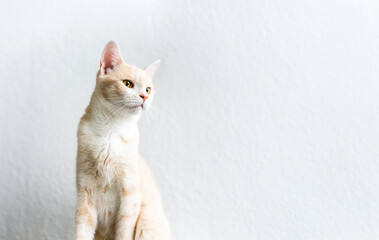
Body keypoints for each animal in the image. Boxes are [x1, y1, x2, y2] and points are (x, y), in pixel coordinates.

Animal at [75, 41, 171, 240]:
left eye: (148, 89)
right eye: (128, 83)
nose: (145, 97)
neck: (110, 131)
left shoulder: (129, 197)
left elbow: (123, 232)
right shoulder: (84, 195)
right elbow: (81, 232)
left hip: (145, 223)